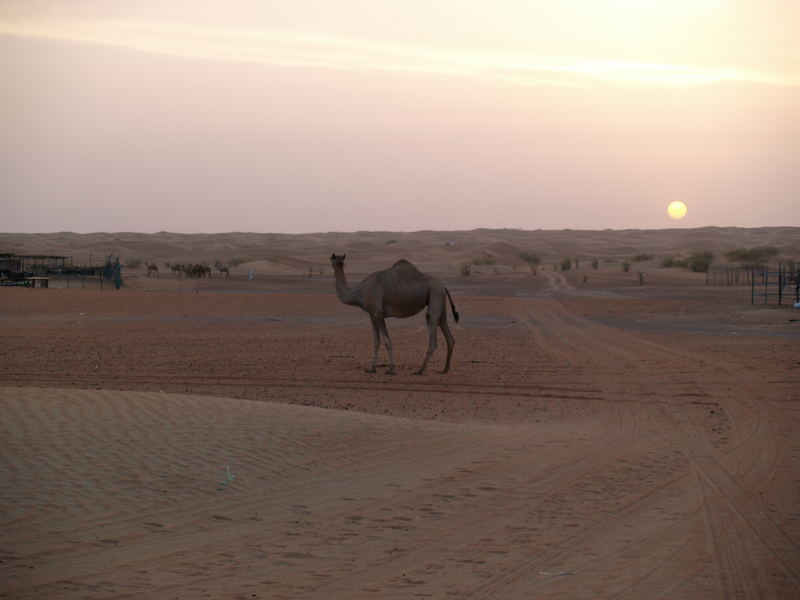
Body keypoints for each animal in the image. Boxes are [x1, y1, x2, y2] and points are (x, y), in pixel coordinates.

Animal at [328, 253, 460, 376]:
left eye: (331, 258)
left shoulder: (378, 313)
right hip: (440, 300)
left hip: (435, 294)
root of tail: (443, 286)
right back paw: (444, 369)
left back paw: (419, 370)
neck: (358, 292)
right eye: (335, 259)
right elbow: (376, 341)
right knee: (447, 331)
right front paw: (371, 368)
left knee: (431, 327)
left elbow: (387, 340)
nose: (335, 262)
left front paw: (391, 369)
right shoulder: (372, 314)